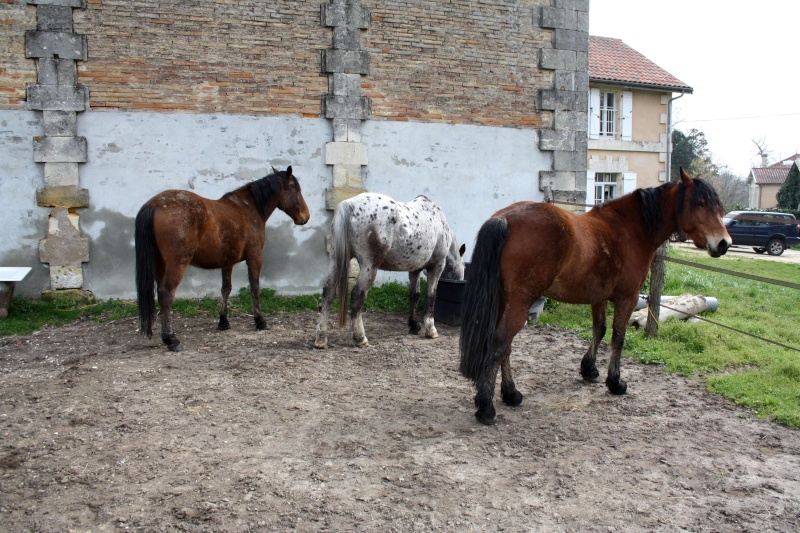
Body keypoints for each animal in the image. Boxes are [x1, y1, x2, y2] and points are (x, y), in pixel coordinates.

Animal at [134, 164, 310, 352]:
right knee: (166, 293)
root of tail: (154, 205)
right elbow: (254, 287)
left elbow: (226, 289)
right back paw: (171, 339)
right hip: (177, 264)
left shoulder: (227, 262)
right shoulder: (255, 257)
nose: (305, 216)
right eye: (295, 188)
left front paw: (223, 321)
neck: (249, 207)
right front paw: (260, 321)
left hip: (159, 264)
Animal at [456, 167, 732, 424]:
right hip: (520, 303)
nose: (724, 243)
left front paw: (589, 369)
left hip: (506, 301)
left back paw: (511, 394)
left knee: (506, 347)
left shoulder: (598, 297)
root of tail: (504, 219)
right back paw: (486, 408)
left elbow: (599, 329)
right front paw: (615, 382)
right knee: (500, 343)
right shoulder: (627, 298)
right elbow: (618, 337)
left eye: (717, 206)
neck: (630, 229)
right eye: (700, 202)